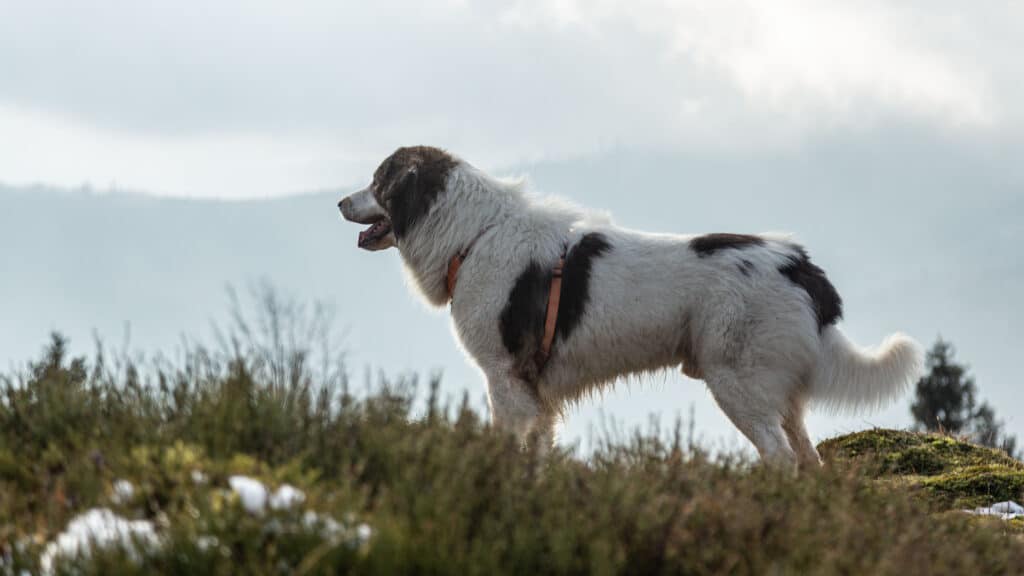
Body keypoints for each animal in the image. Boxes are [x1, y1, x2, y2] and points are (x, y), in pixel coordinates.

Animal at [339, 144, 925, 467]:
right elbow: (538, 454)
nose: (341, 201)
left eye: (379, 181)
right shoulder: (535, 393)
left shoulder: (504, 380)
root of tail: (798, 263)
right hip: (774, 393)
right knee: (808, 459)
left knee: (780, 458)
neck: (474, 234)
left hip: (738, 383)